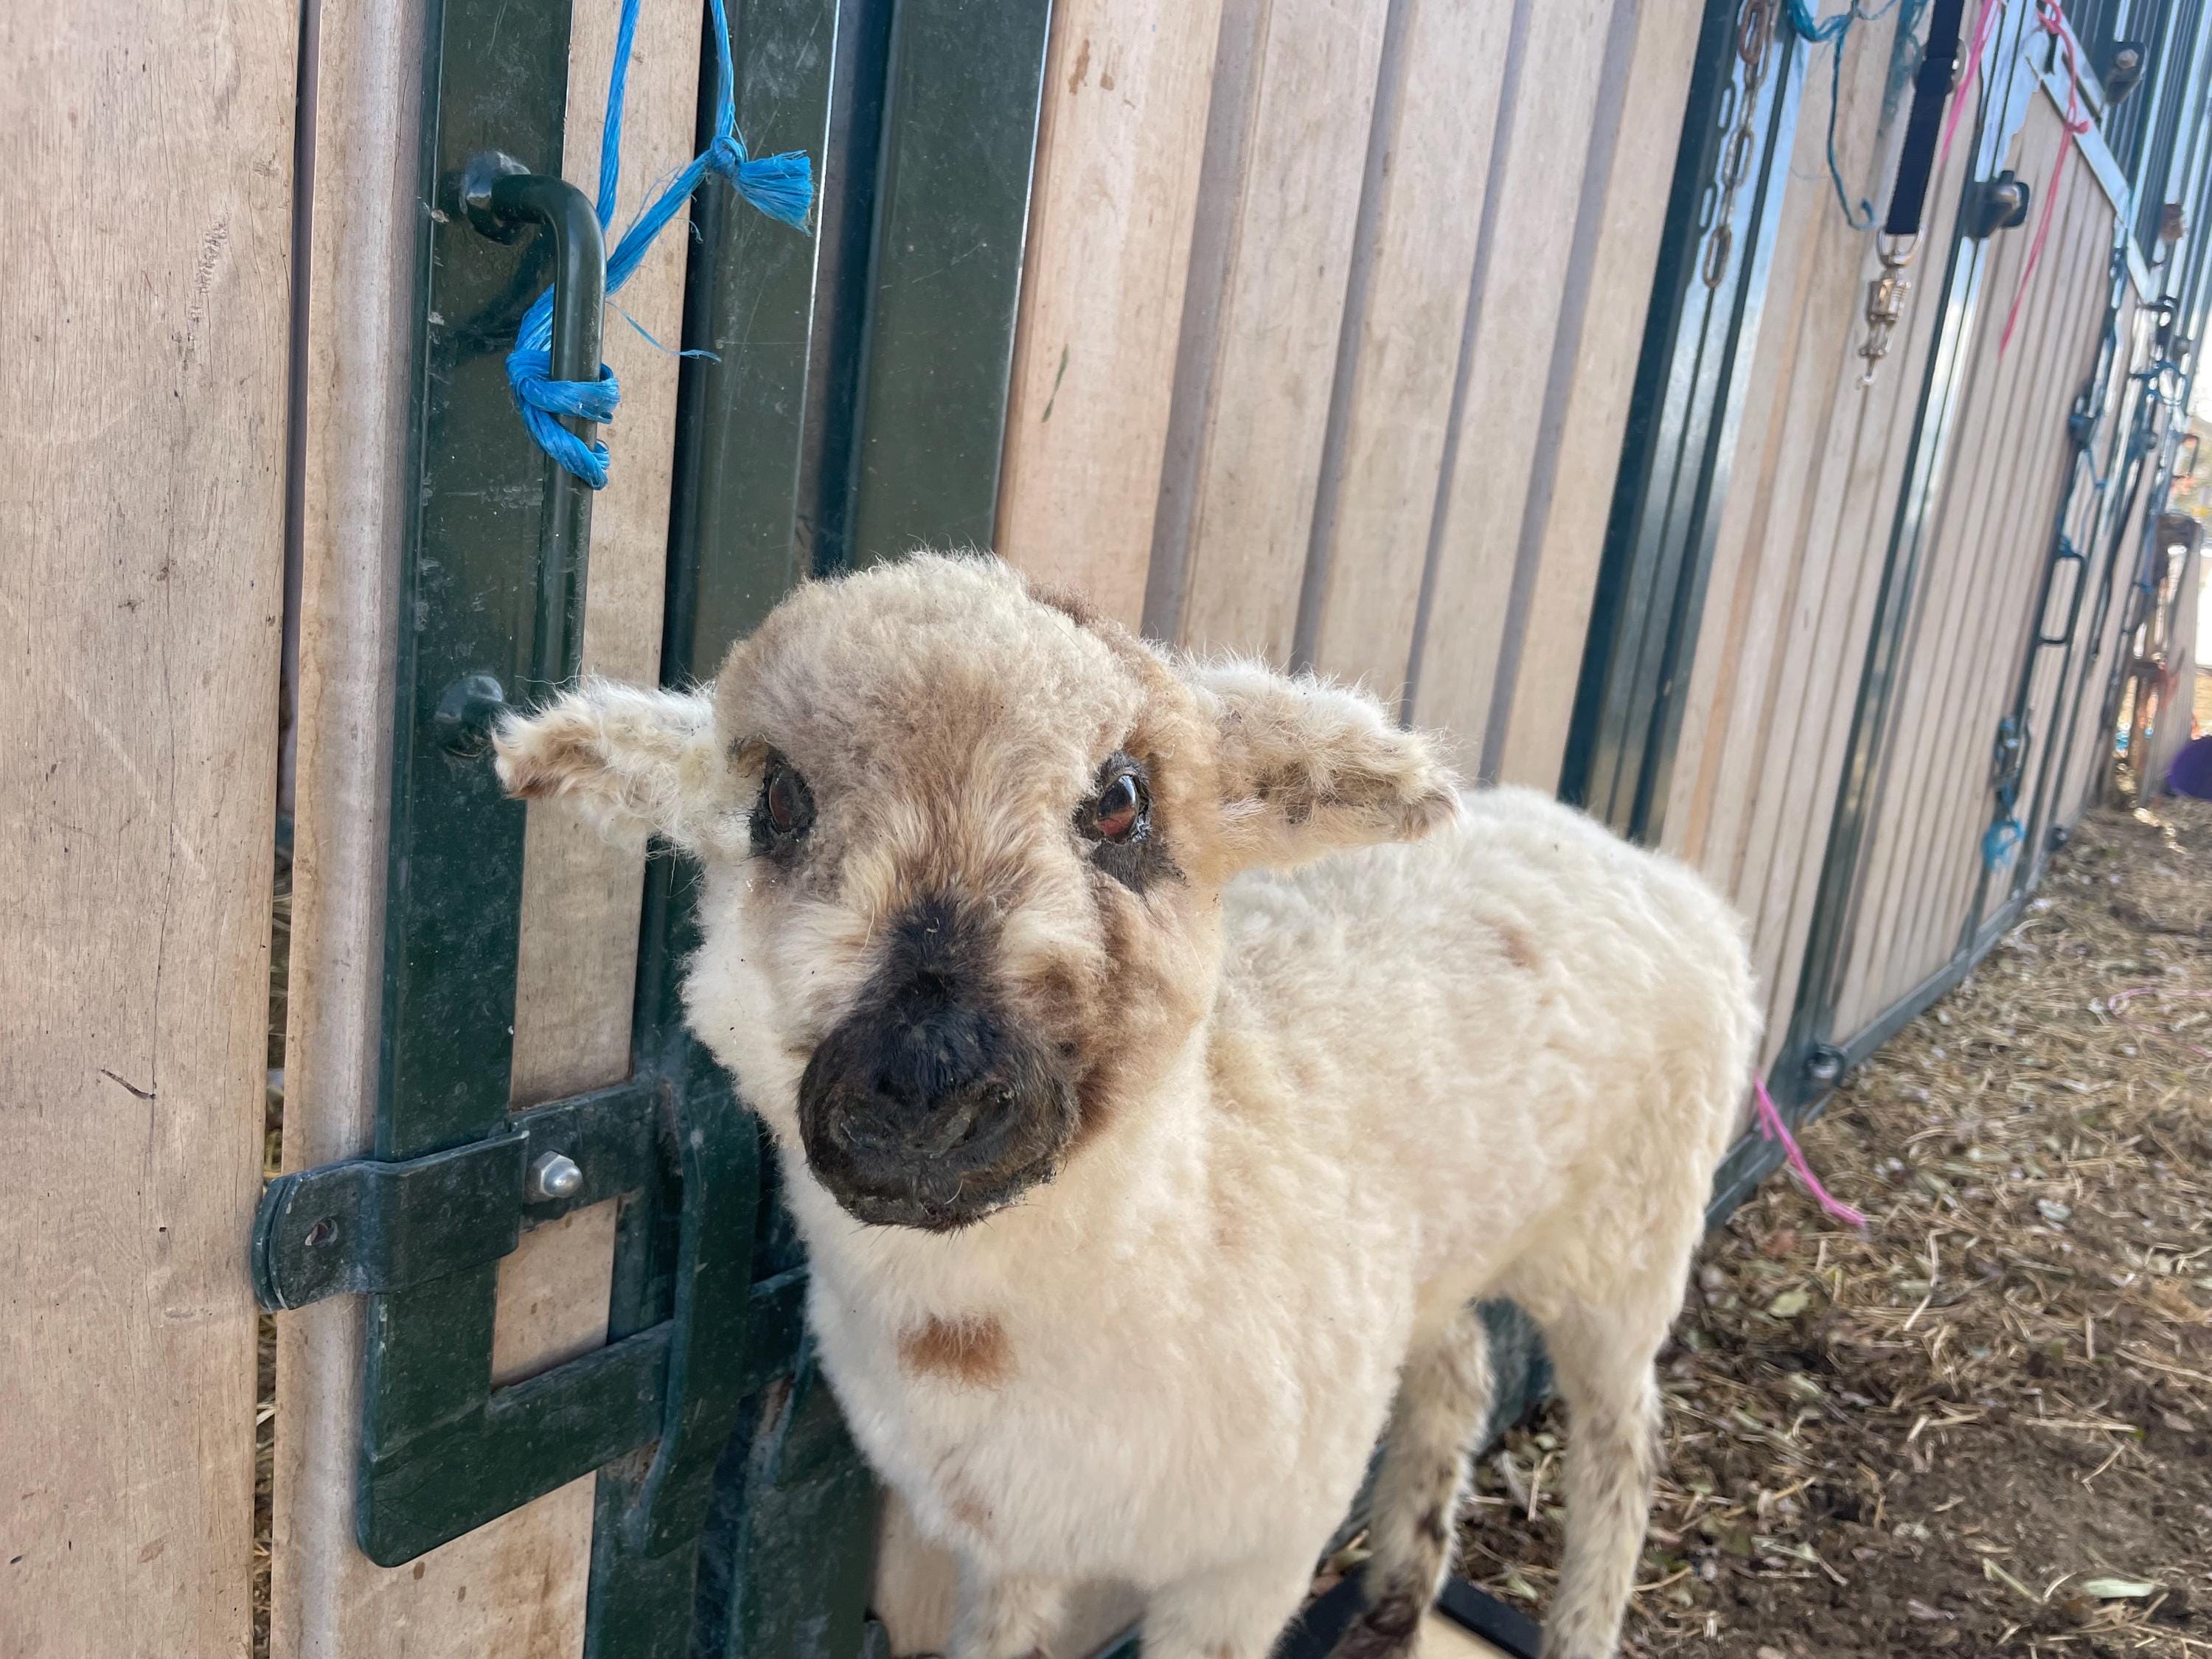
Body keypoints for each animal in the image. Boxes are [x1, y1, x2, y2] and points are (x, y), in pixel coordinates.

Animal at [494, 552, 1760, 1659]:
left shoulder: (1250, 1559)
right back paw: (1398, 1602)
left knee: (1620, 1444)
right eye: (779, 801)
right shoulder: (1005, 1537)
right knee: (1456, 1368)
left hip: (1632, 1239)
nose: (930, 1076)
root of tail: (1638, 855)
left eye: (1121, 801)